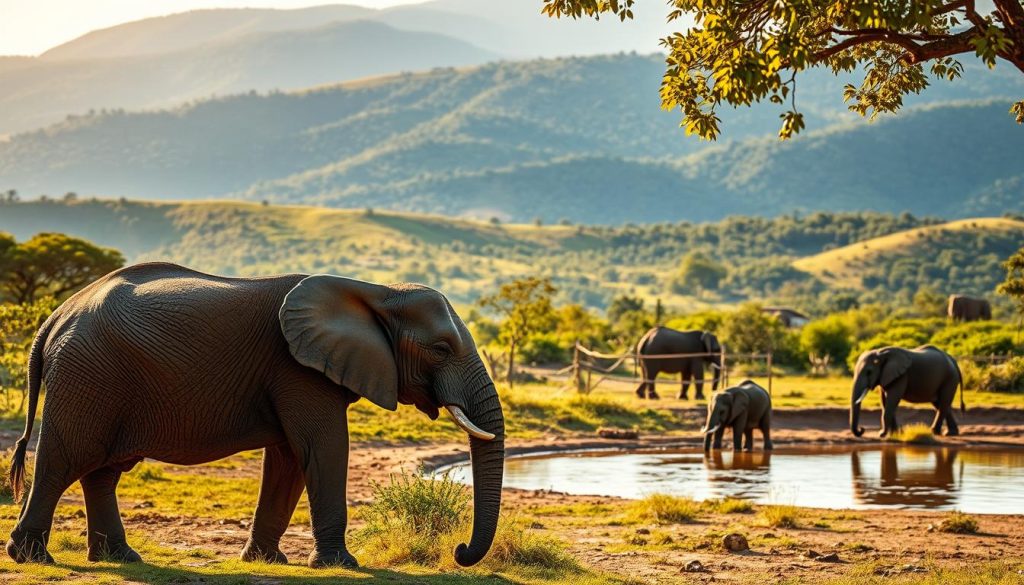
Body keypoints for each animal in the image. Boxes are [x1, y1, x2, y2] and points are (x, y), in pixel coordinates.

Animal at [6, 263, 504, 568]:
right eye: (440, 350)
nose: (459, 550)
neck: (375, 292)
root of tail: (53, 319)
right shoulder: (298, 369)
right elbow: (322, 448)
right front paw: (341, 565)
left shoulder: (296, 373)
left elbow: (289, 460)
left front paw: (266, 562)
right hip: (87, 375)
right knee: (63, 460)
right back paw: (32, 558)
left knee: (102, 471)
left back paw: (120, 559)